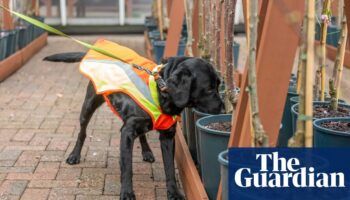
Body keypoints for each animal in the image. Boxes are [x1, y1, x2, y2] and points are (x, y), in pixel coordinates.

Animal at [44, 53, 224, 200]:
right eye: (209, 89)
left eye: (218, 85)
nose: (224, 109)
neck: (159, 91)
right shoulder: (127, 133)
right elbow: (127, 167)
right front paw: (127, 193)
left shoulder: (168, 136)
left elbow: (169, 168)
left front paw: (174, 193)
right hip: (88, 106)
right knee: (82, 132)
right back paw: (74, 155)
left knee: (143, 134)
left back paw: (147, 152)